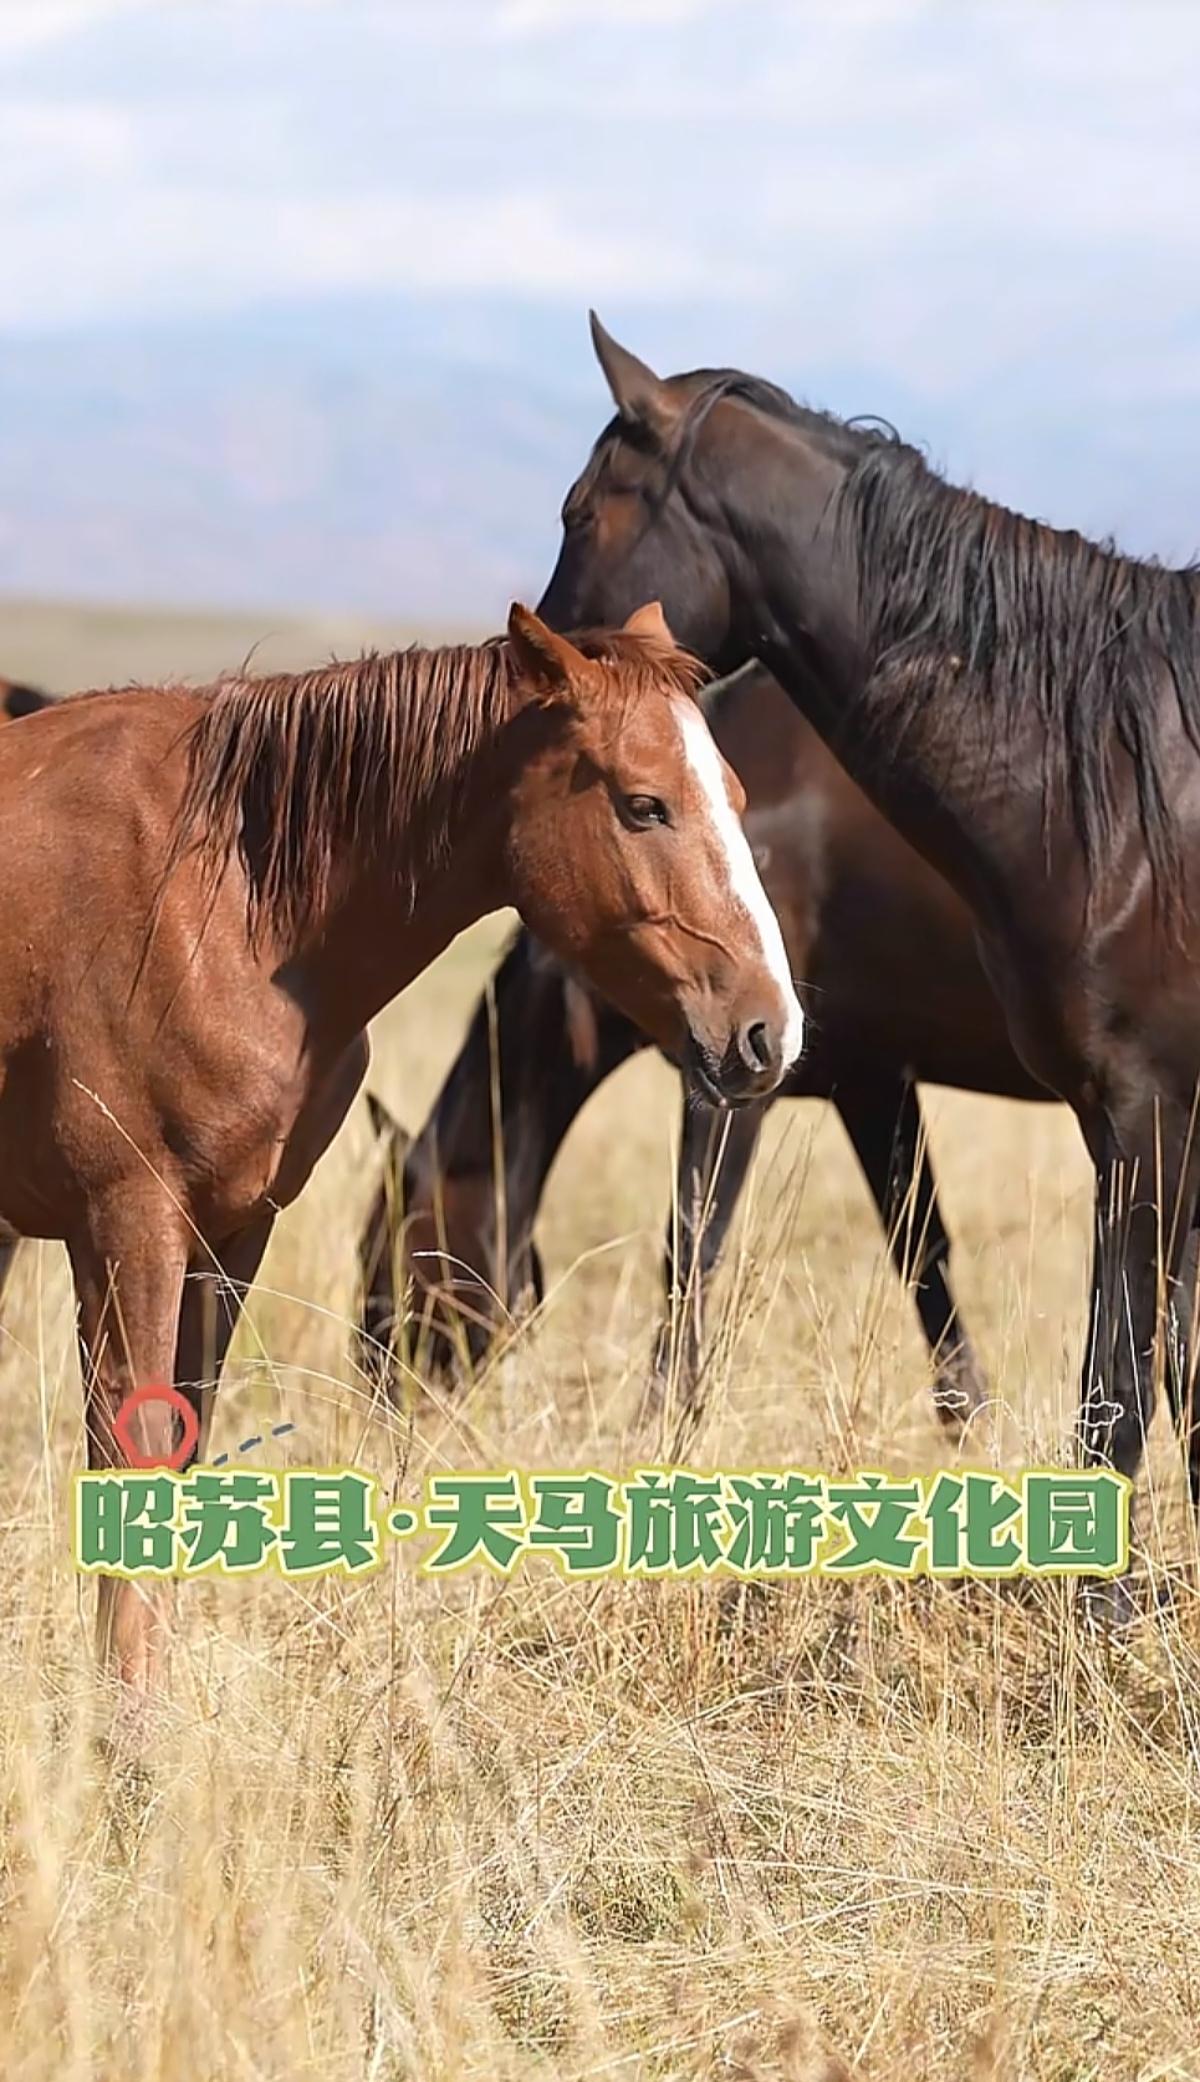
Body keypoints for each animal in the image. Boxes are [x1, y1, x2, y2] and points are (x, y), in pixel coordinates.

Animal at [0, 601, 803, 1690]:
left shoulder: (231, 1231)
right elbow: (132, 1449)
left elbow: (183, 1446)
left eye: (737, 796)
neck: (222, 903)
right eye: (645, 806)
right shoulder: (127, 1224)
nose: (771, 1032)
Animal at [358, 661, 1053, 1422]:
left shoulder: (737, 1086)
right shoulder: (873, 1083)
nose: (377, 1391)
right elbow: (921, 1247)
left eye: (387, 1249)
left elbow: (692, 1247)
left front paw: (660, 1417)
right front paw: (967, 1418)